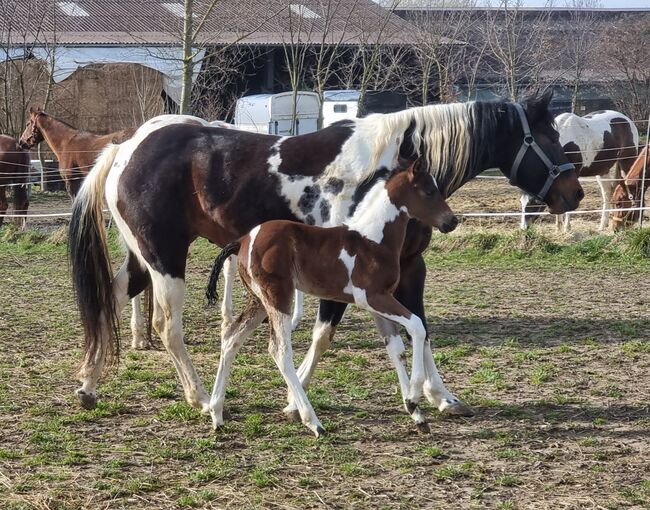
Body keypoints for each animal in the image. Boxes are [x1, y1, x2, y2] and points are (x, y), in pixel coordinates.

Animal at [204, 158, 456, 434]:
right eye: (429, 191)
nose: (451, 222)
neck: (373, 240)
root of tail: (243, 240)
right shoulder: (374, 297)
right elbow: (417, 326)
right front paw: (414, 398)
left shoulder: (377, 303)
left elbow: (395, 348)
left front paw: (415, 412)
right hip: (277, 296)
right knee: (279, 350)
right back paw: (312, 421)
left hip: (258, 301)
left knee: (231, 337)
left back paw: (216, 414)